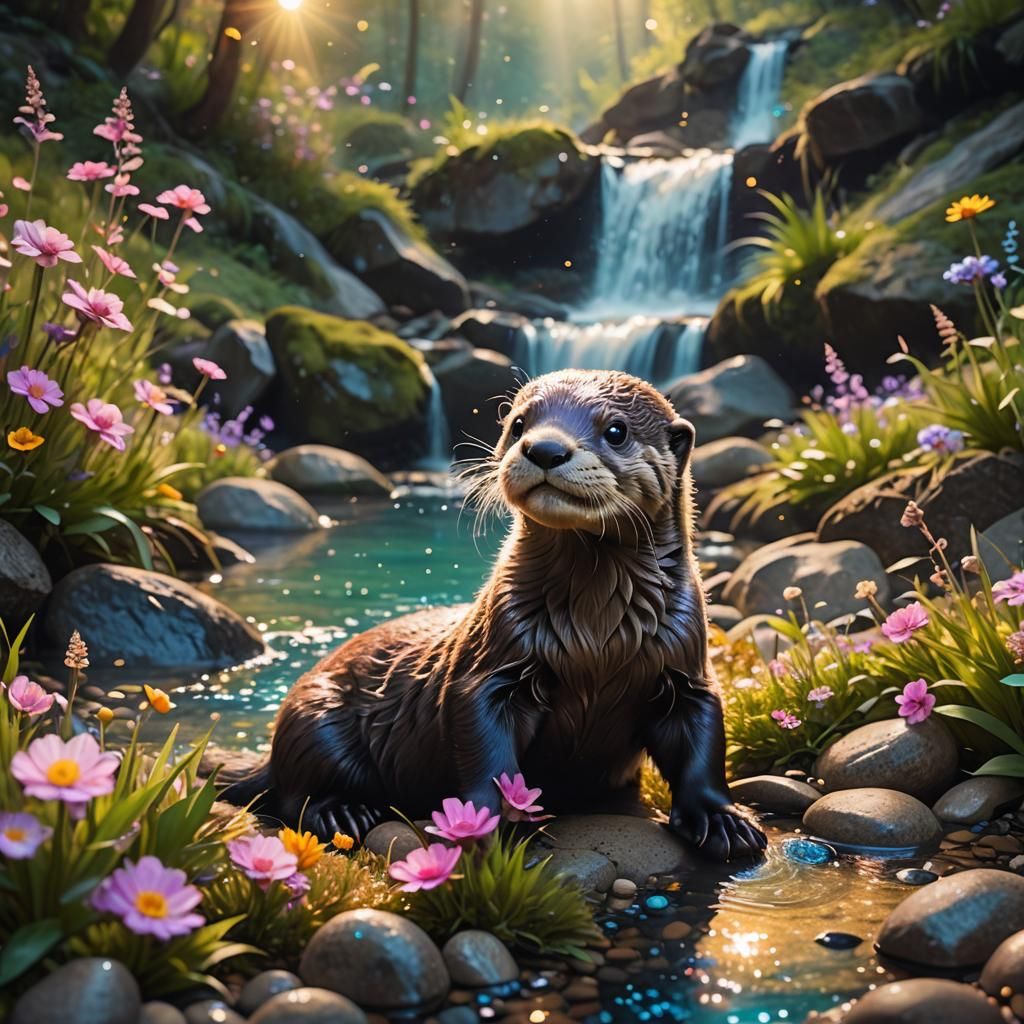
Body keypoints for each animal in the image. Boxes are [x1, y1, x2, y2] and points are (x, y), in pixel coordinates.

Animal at [222, 369, 766, 862]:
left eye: (616, 430)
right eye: (520, 423)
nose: (544, 448)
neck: (597, 639)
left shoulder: (686, 669)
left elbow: (702, 743)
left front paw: (723, 820)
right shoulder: (492, 666)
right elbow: (486, 751)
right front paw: (492, 825)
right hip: (315, 714)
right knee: (291, 793)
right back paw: (344, 811)